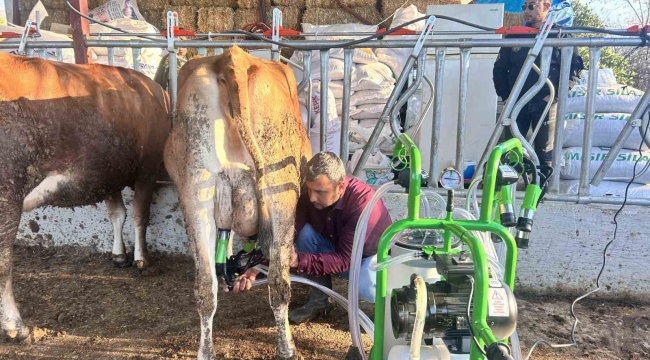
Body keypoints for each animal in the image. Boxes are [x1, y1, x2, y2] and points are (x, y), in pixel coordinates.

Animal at [0, 52, 170, 340]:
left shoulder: (113, 172)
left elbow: (121, 214)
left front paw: (121, 255)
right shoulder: (147, 166)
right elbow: (138, 213)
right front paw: (141, 258)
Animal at [165, 45, 312, 360]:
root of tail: (233, 57)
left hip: (195, 192)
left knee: (205, 287)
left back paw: (206, 351)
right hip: (281, 190)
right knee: (279, 283)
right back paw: (287, 348)